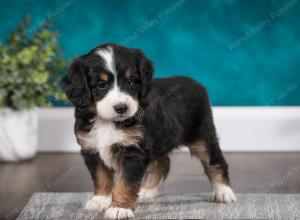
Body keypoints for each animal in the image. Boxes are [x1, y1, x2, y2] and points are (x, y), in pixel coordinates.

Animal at [62, 43, 237, 220]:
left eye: (130, 81)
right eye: (101, 85)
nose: (121, 108)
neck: (107, 122)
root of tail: (195, 82)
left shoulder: (133, 151)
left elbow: (125, 183)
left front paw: (120, 208)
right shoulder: (91, 148)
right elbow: (101, 177)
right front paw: (100, 200)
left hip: (202, 136)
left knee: (215, 162)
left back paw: (224, 192)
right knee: (163, 163)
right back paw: (146, 191)